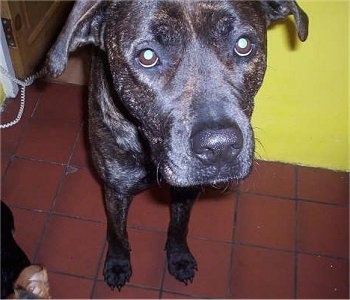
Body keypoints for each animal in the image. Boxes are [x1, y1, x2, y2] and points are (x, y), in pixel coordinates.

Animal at [44, 0, 308, 290]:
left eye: (243, 44)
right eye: (147, 56)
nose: (219, 148)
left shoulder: (186, 191)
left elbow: (180, 225)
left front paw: (179, 257)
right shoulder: (116, 190)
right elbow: (118, 232)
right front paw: (118, 263)